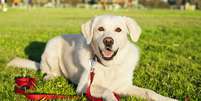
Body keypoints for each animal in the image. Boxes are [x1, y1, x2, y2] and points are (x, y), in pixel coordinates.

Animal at [8, 14, 177, 100]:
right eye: (100, 29)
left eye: (118, 30)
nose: (108, 41)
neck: (109, 67)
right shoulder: (85, 86)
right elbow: (107, 91)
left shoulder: (123, 86)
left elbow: (149, 92)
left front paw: (168, 99)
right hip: (52, 47)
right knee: (48, 70)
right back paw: (51, 76)